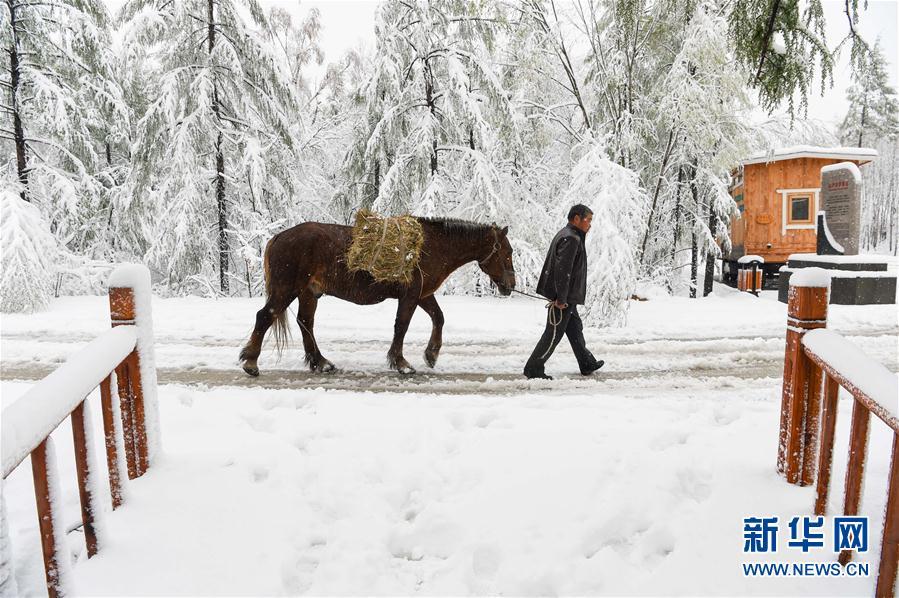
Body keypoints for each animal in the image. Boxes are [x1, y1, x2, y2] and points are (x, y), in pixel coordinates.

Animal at [239, 218, 516, 378]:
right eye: (508, 252)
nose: (511, 285)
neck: (430, 245)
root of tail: (278, 237)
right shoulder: (411, 295)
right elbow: (402, 326)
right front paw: (401, 363)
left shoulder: (423, 295)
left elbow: (439, 318)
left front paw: (431, 353)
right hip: (286, 290)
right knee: (265, 317)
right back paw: (251, 362)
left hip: (309, 293)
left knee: (305, 323)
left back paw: (321, 363)